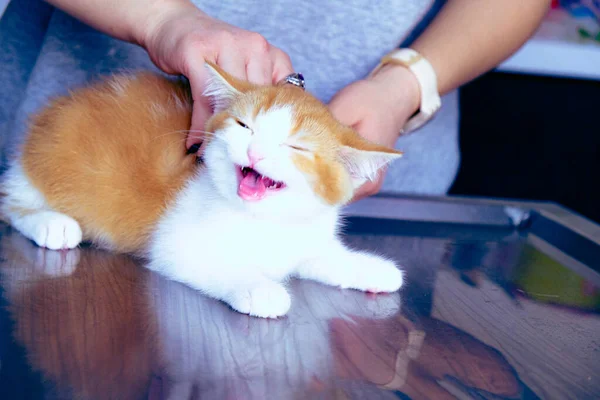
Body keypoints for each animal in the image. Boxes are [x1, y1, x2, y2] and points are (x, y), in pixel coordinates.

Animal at [0, 63, 406, 318]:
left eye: (297, 147)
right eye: (244, 126)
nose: (255, 152)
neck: (265, 222)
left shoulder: (303, 237)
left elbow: (322, 256)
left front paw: (369, 267)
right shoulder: (174, 244)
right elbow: (212, 263)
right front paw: (259, 288)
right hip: (50, 159)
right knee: (10, 201)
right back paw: (50, 223)